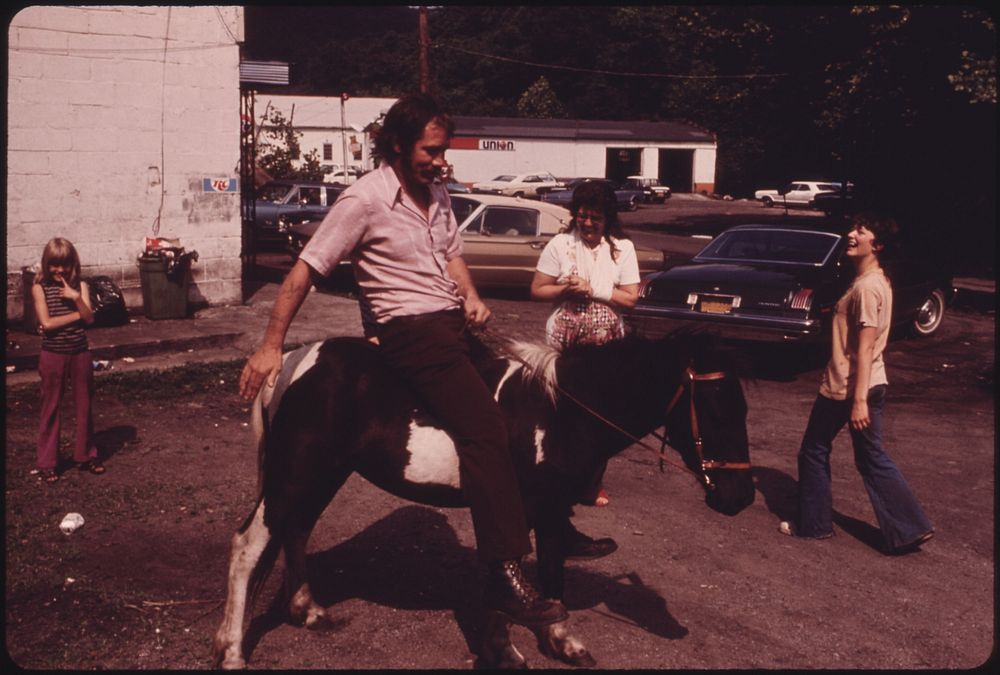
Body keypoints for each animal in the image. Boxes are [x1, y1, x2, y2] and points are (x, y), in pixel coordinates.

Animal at [215, 330, 752, 668]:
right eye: (717, 407)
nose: (740, 497)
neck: (559, 413)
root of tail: (288, 363)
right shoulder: (520, 505)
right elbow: (513, 570)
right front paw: (508, 650)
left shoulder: (548, 509)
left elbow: (547, 571)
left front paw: (560, 640)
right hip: (297, 471)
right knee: (249, 544)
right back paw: (234, 650)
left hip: (324, 472)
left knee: (296, 529)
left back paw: (306, 609)